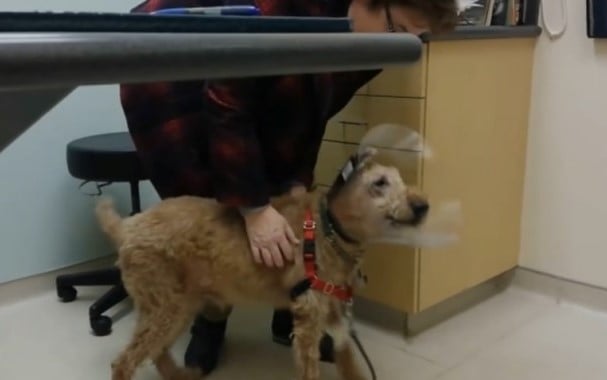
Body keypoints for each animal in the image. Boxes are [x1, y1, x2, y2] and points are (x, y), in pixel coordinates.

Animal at [97, 148, 430, 380]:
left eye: (400, 179)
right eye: (380, 183)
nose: (423, 206)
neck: (330, 230)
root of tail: (127, 226)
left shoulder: (336, 316)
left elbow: (350, 364)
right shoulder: (309, 320)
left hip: (179, 306)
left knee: (158, 352)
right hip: (164, 308)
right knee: (124, 362)